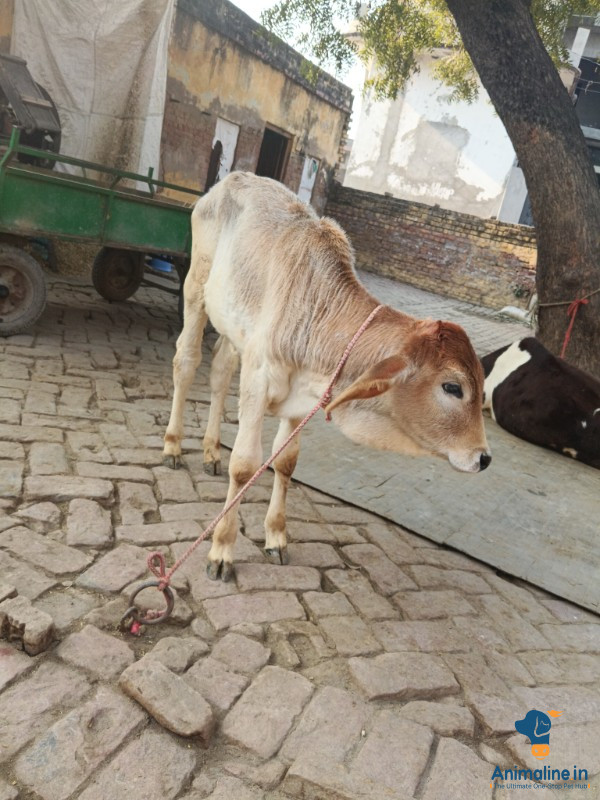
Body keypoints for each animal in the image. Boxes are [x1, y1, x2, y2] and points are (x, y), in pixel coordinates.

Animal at [164, 172, 491, 581]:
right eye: (452, 387)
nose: (483, 457)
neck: (317, 308)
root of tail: (232, 179)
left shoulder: (301, 396)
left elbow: (286, 461)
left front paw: (276, 537)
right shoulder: (259, 379)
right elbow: (245, 465)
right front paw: (221, 550)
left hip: (233, 329)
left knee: (221, 371)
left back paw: (210, 451)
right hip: (196, 290)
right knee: (187, 363)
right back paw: (173, 445)